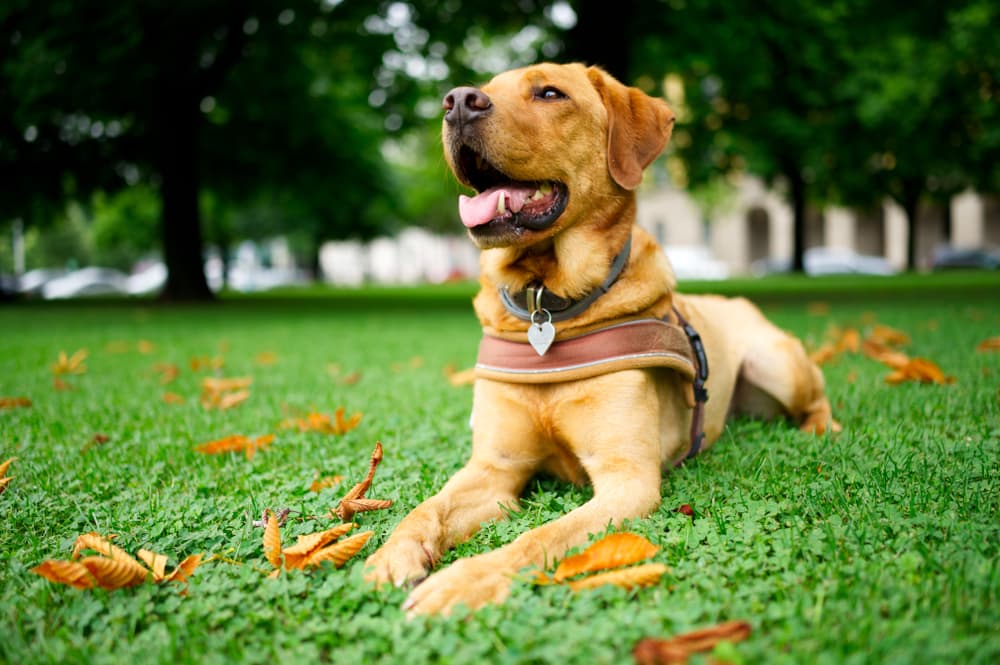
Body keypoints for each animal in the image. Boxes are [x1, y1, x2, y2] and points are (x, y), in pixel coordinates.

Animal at [366, 65, 836, 616]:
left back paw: (821, 429)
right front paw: (393, 554)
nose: (458, 102)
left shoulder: (626, 481)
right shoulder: (492, 468)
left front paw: (464, 581)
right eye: (482, 87)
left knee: (818, 396)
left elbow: (538, 538)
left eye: (550, 93)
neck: (548, 302)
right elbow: (427, 508)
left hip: (778, 363)